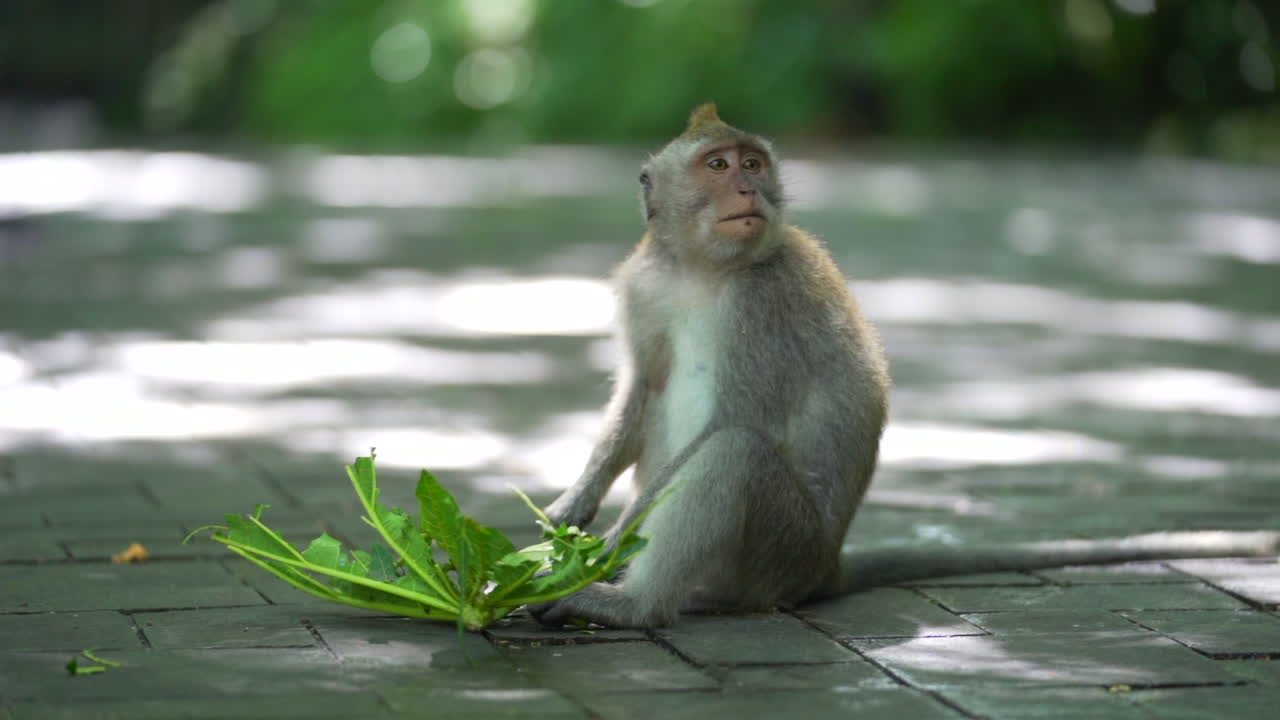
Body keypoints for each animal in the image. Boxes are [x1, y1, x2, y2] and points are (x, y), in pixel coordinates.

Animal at [528, 104, 1280, 629]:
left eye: (754, 164)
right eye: (718, 166)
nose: (748, 190)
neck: (702, 273)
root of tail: (827, 566)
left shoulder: (764, 303)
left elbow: (737, 420)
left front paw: (595, 553)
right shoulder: (647, 287)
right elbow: (641, 391)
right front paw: (571, 511)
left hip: (780, 551)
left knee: (736, 455)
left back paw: (634, 604)